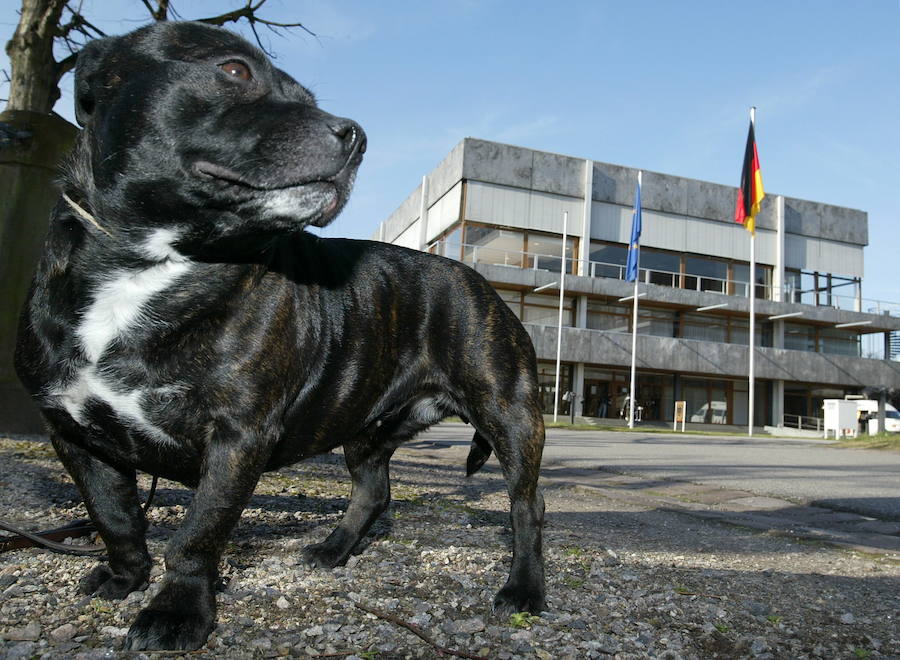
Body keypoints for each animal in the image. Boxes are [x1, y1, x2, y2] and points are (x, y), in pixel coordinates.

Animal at [14, 21, 544, 656]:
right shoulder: (73, 432)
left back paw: (524, 589)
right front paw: (124, 576)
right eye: (234, 69)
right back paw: (334, 550)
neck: (149, 261)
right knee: (374, 491)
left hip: (510, 415)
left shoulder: (237, 437)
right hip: (365, 427)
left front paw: (176, 611)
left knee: (526, 506)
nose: (355, 134)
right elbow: (113, 515)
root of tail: (481, 281)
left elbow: (197, 533)